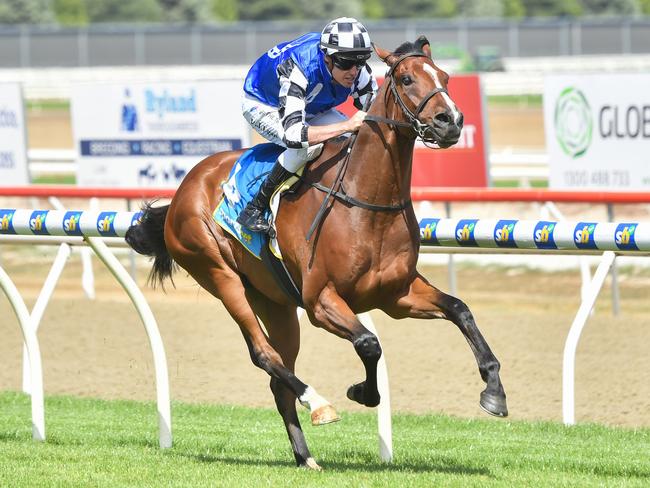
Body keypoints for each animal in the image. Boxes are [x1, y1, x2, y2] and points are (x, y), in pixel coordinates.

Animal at [125, 36, 506, 470]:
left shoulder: (397, 294)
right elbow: (369, 344)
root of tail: (184, 188)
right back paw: (319, 404)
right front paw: (362, 392)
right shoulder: (320, 301)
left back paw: (304, 455)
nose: (450, 121)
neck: (365, 201)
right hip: (220, 276)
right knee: (264, 354)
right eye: (407, 79)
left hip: (275, 302)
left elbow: (460, 310)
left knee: (278, 377)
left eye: (444, 76)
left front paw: (494, 391)